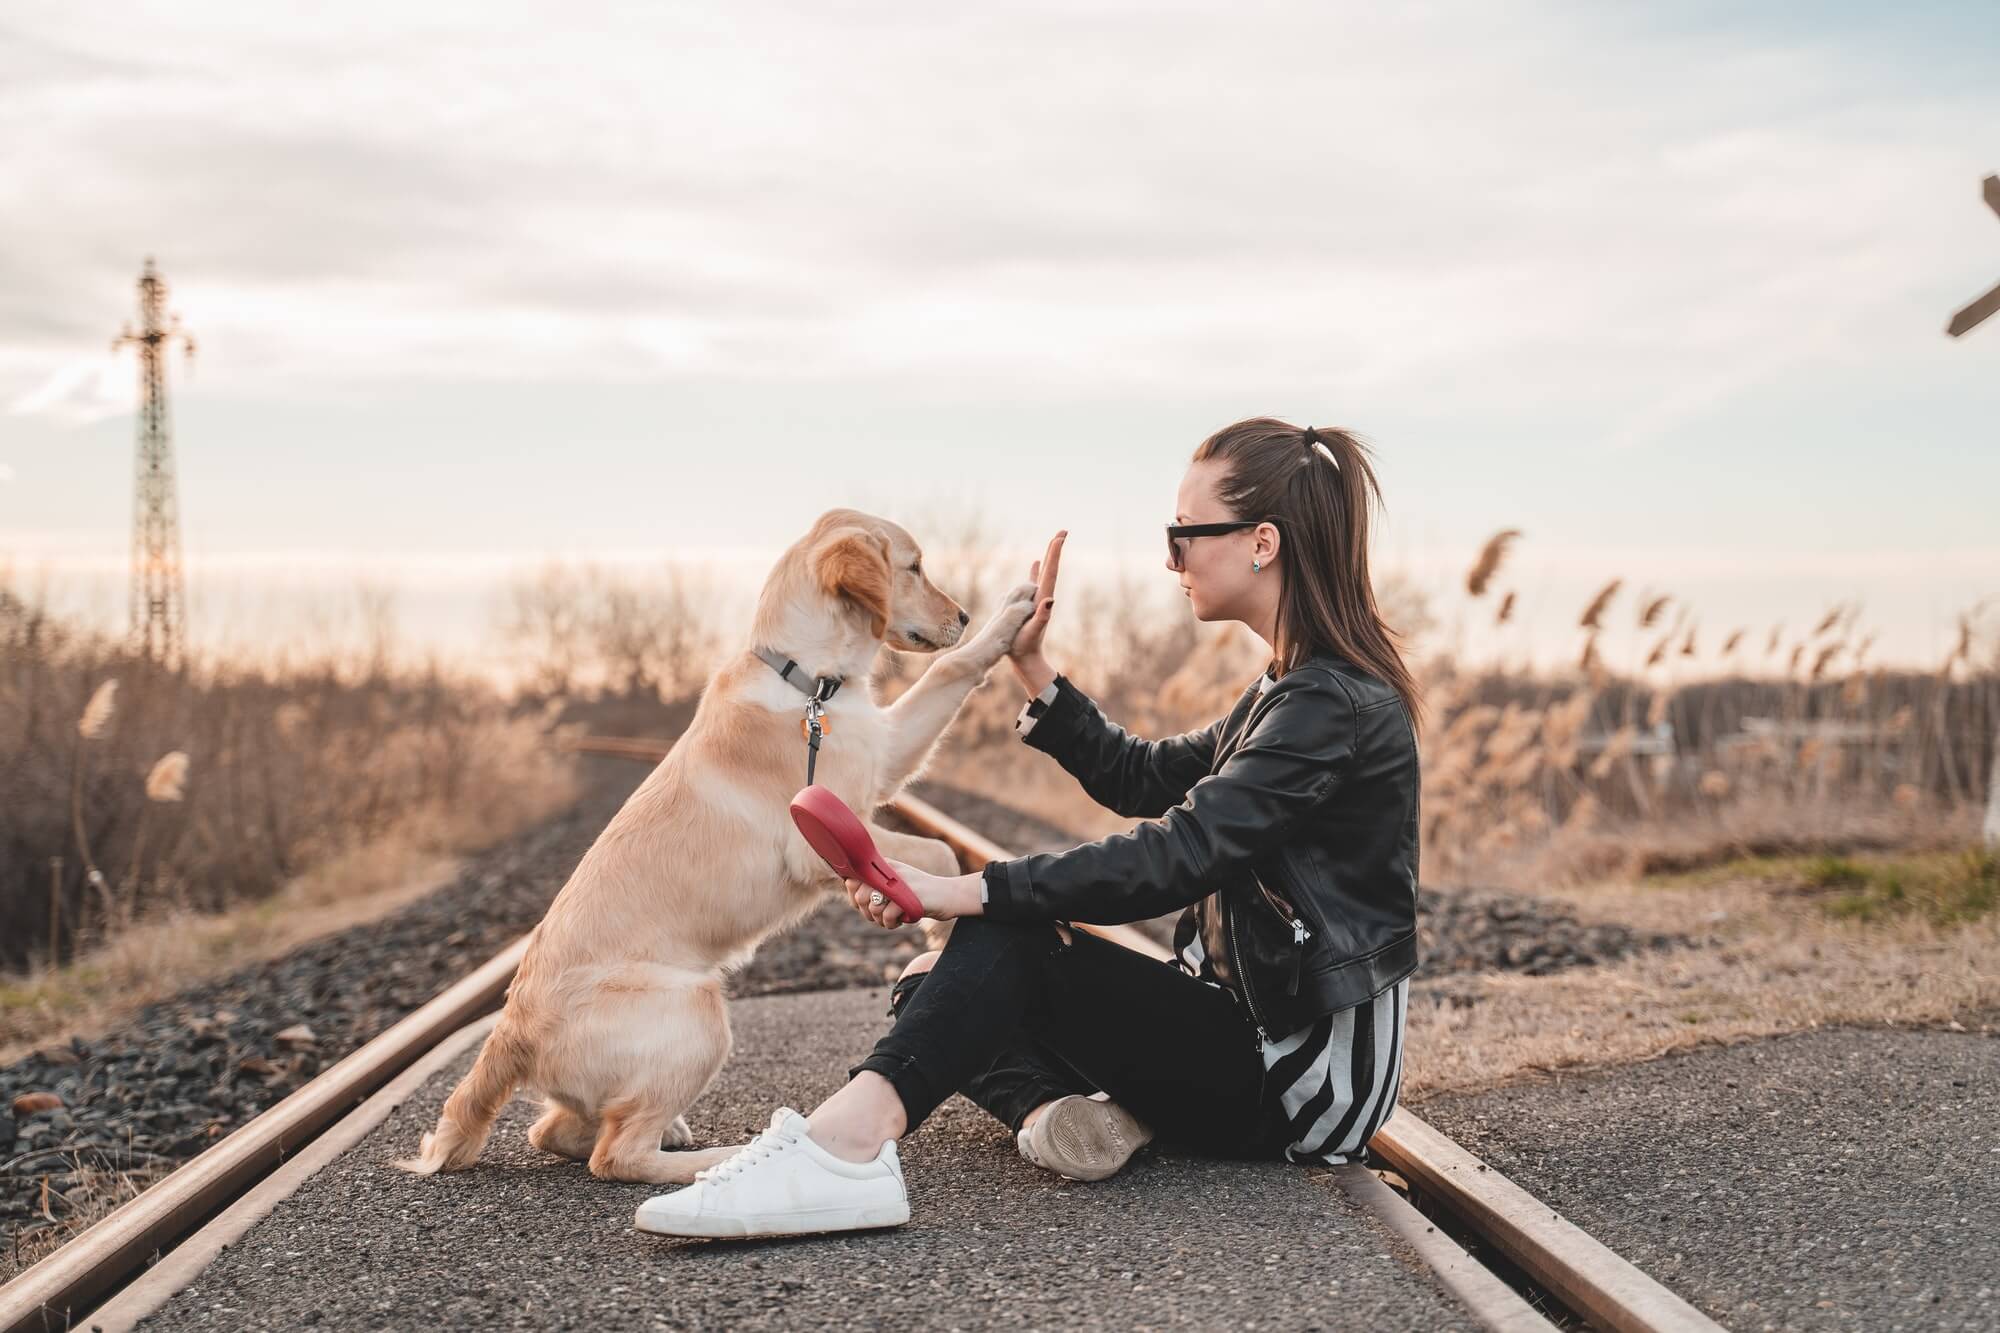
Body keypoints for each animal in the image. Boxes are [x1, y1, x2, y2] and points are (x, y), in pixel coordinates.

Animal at [400, 508, 1040, 1184]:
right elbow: (938, 854)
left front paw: (1011, 614)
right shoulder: (820, 836)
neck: (809, 683)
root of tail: (509, 1032)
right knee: (615, 1155)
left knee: (553, 1131)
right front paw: (941, 932)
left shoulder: (884, 753)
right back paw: (726, 1157)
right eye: (914, 567)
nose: (964, 615)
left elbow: (951, 671)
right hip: (699, 1009)